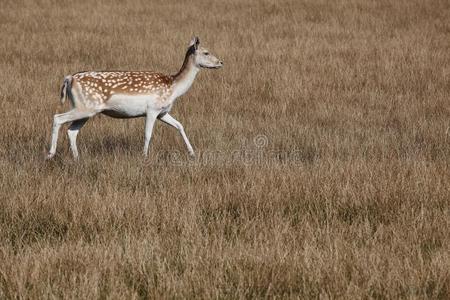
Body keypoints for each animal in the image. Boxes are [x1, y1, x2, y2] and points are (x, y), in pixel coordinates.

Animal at [46, 37, 222, 161]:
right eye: (206, 52)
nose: (221, 62)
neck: (174, 87)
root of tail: (69, 79)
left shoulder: (163, 112)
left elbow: (180, 125)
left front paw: (192, 153)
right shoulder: (152, 109)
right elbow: (148, 134)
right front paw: (144, 157)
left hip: (87, 110)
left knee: (72, 131)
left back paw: (77, 158)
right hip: (85, 107)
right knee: (58, 118)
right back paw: (50, 154)